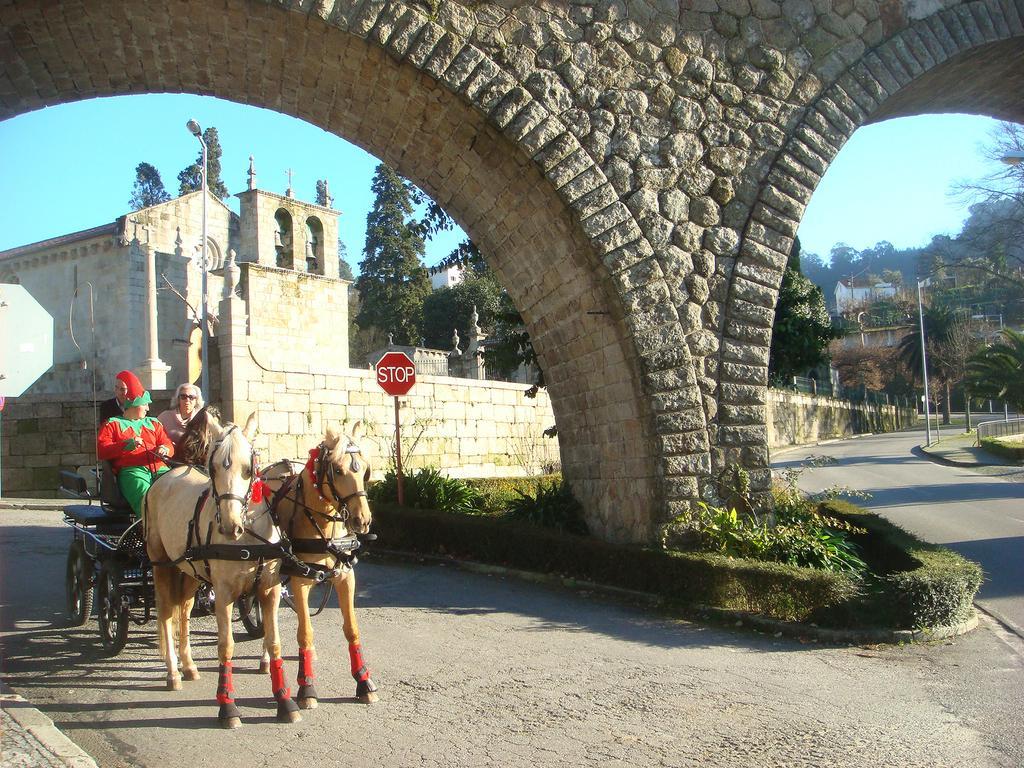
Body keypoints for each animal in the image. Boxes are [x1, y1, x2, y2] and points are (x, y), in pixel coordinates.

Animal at [146, 415, 301, 729]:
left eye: (248, 469)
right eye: (213, 467)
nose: (230, 526)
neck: (248, 539)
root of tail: (167, 476)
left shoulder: (269, 589)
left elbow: (274, 642)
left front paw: (284, 701)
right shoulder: (224, 592)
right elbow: (226, 646)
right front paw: (227, 706)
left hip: (189, 572)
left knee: (184, 610)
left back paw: (188, 665)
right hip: (161, 565)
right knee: (166, 614)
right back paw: (172, 671)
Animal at [260, 428, 380, 708]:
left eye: (364, 469)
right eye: (337, 470)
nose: (362, 519)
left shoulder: (345, 577)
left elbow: (352, 629)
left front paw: (363, 681)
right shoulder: (300, 581)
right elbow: (305, 632)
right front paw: (306, 687)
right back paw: (265, 657)